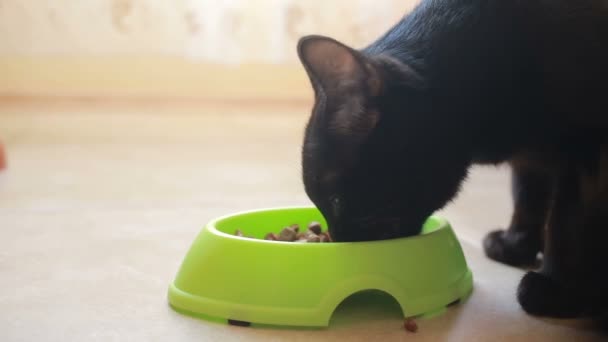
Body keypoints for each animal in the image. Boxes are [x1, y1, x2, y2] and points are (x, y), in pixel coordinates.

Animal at [300, 0, 608, 324]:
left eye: (336, 200)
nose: (338, 243)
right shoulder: (529, 161)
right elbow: (527, 199)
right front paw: (515, 245)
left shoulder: (586, 151)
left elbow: (566, 222)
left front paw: (555, 287)